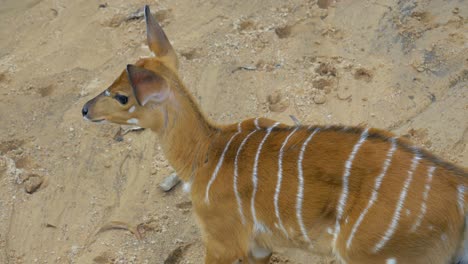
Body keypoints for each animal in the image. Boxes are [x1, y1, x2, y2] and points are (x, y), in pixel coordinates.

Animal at [82, 5, 468, 262]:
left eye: (122, 96)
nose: (85, 109)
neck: (204, 155)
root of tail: (459, 190)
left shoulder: (222, 240)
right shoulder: (259, 247)